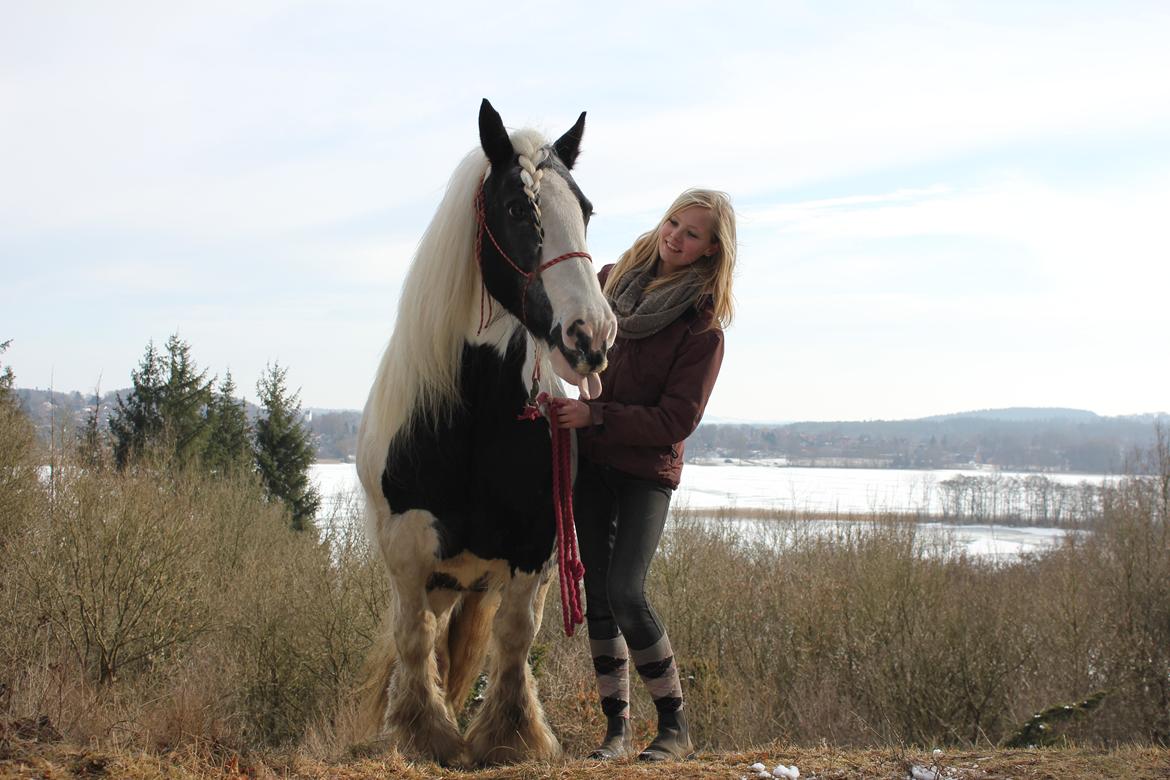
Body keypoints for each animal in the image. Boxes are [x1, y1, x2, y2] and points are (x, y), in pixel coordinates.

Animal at [353, 99, 617, 767]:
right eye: (518, 208)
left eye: (585, 209)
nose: (591, 336)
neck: (470, 416)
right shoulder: (409, 550)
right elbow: (414, 639)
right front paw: (428, 733)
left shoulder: (533, 548)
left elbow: (514, 639)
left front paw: (508, 734)